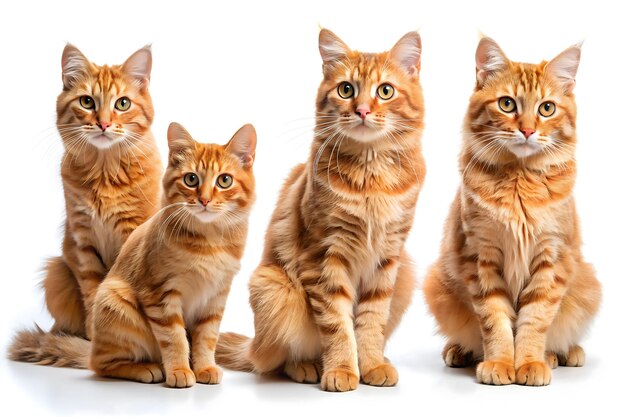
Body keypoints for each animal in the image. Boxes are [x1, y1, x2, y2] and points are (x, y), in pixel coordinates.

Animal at [45, 44, 161, 338]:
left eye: (123, 103)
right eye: (87, 102)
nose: (104, 124)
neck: (105, 172)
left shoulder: (133, 233)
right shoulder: (83, 242)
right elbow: (93, 292)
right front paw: (95, 337)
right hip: (56, 273)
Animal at [214, 29, 424, 390]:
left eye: (385, 91)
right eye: (346, 89)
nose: (362, 111)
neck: (372, 181)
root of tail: (253, 345)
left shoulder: (388, 257)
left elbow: (370, 322)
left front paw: (371, 365)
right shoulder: (325, 255)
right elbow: (338, 325)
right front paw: (342, 370)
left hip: (406, 275)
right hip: (273, 287)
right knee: (276, 361)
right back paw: (307, 366)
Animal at [424, 37, 600, 386]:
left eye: (547, 108)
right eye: (507, 104)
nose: (528, 131)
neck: (519, 179)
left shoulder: (552, 258)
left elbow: (534, 320)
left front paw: (530, 362)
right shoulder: (481, 256)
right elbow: (496, 321)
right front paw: (500, 363)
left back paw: (560, 355)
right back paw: (460, 351)